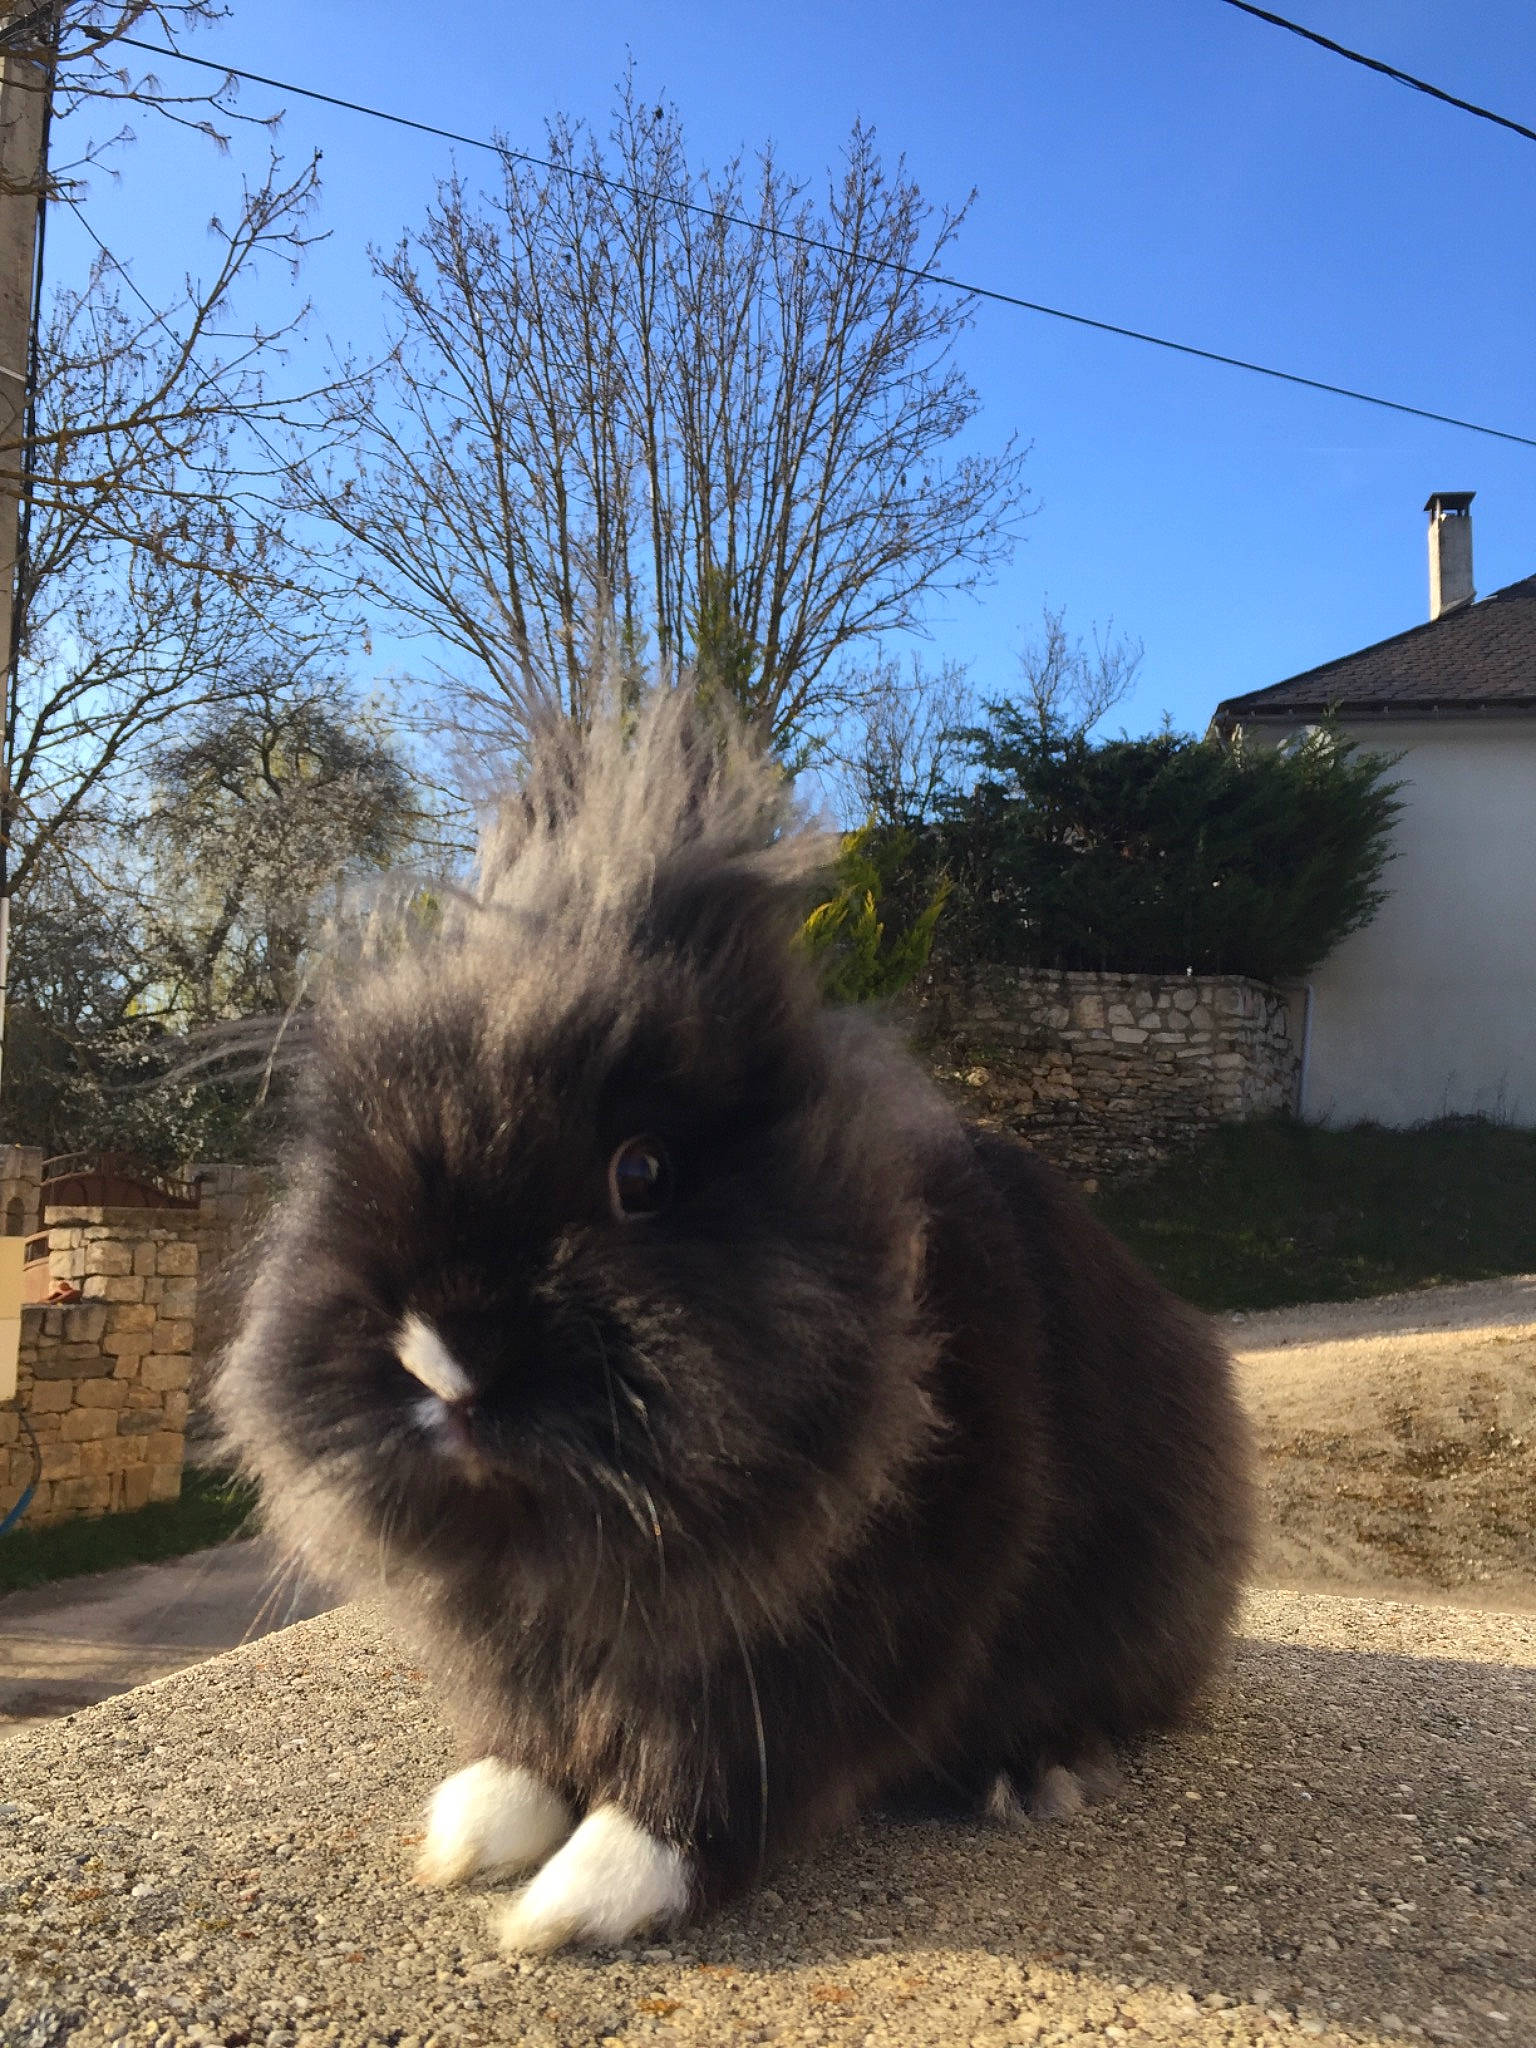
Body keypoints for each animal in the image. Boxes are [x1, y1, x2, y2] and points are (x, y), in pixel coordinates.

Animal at [211, 689, 1253, 1955]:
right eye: (345, 1169)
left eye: (643, 1172)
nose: (444, 1359)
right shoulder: (531, 1648)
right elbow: (534, 1735)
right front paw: (479, 1819)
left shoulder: (836, 1635)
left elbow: (713, 1765)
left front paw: (585, 1892)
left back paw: (1028, 1772)